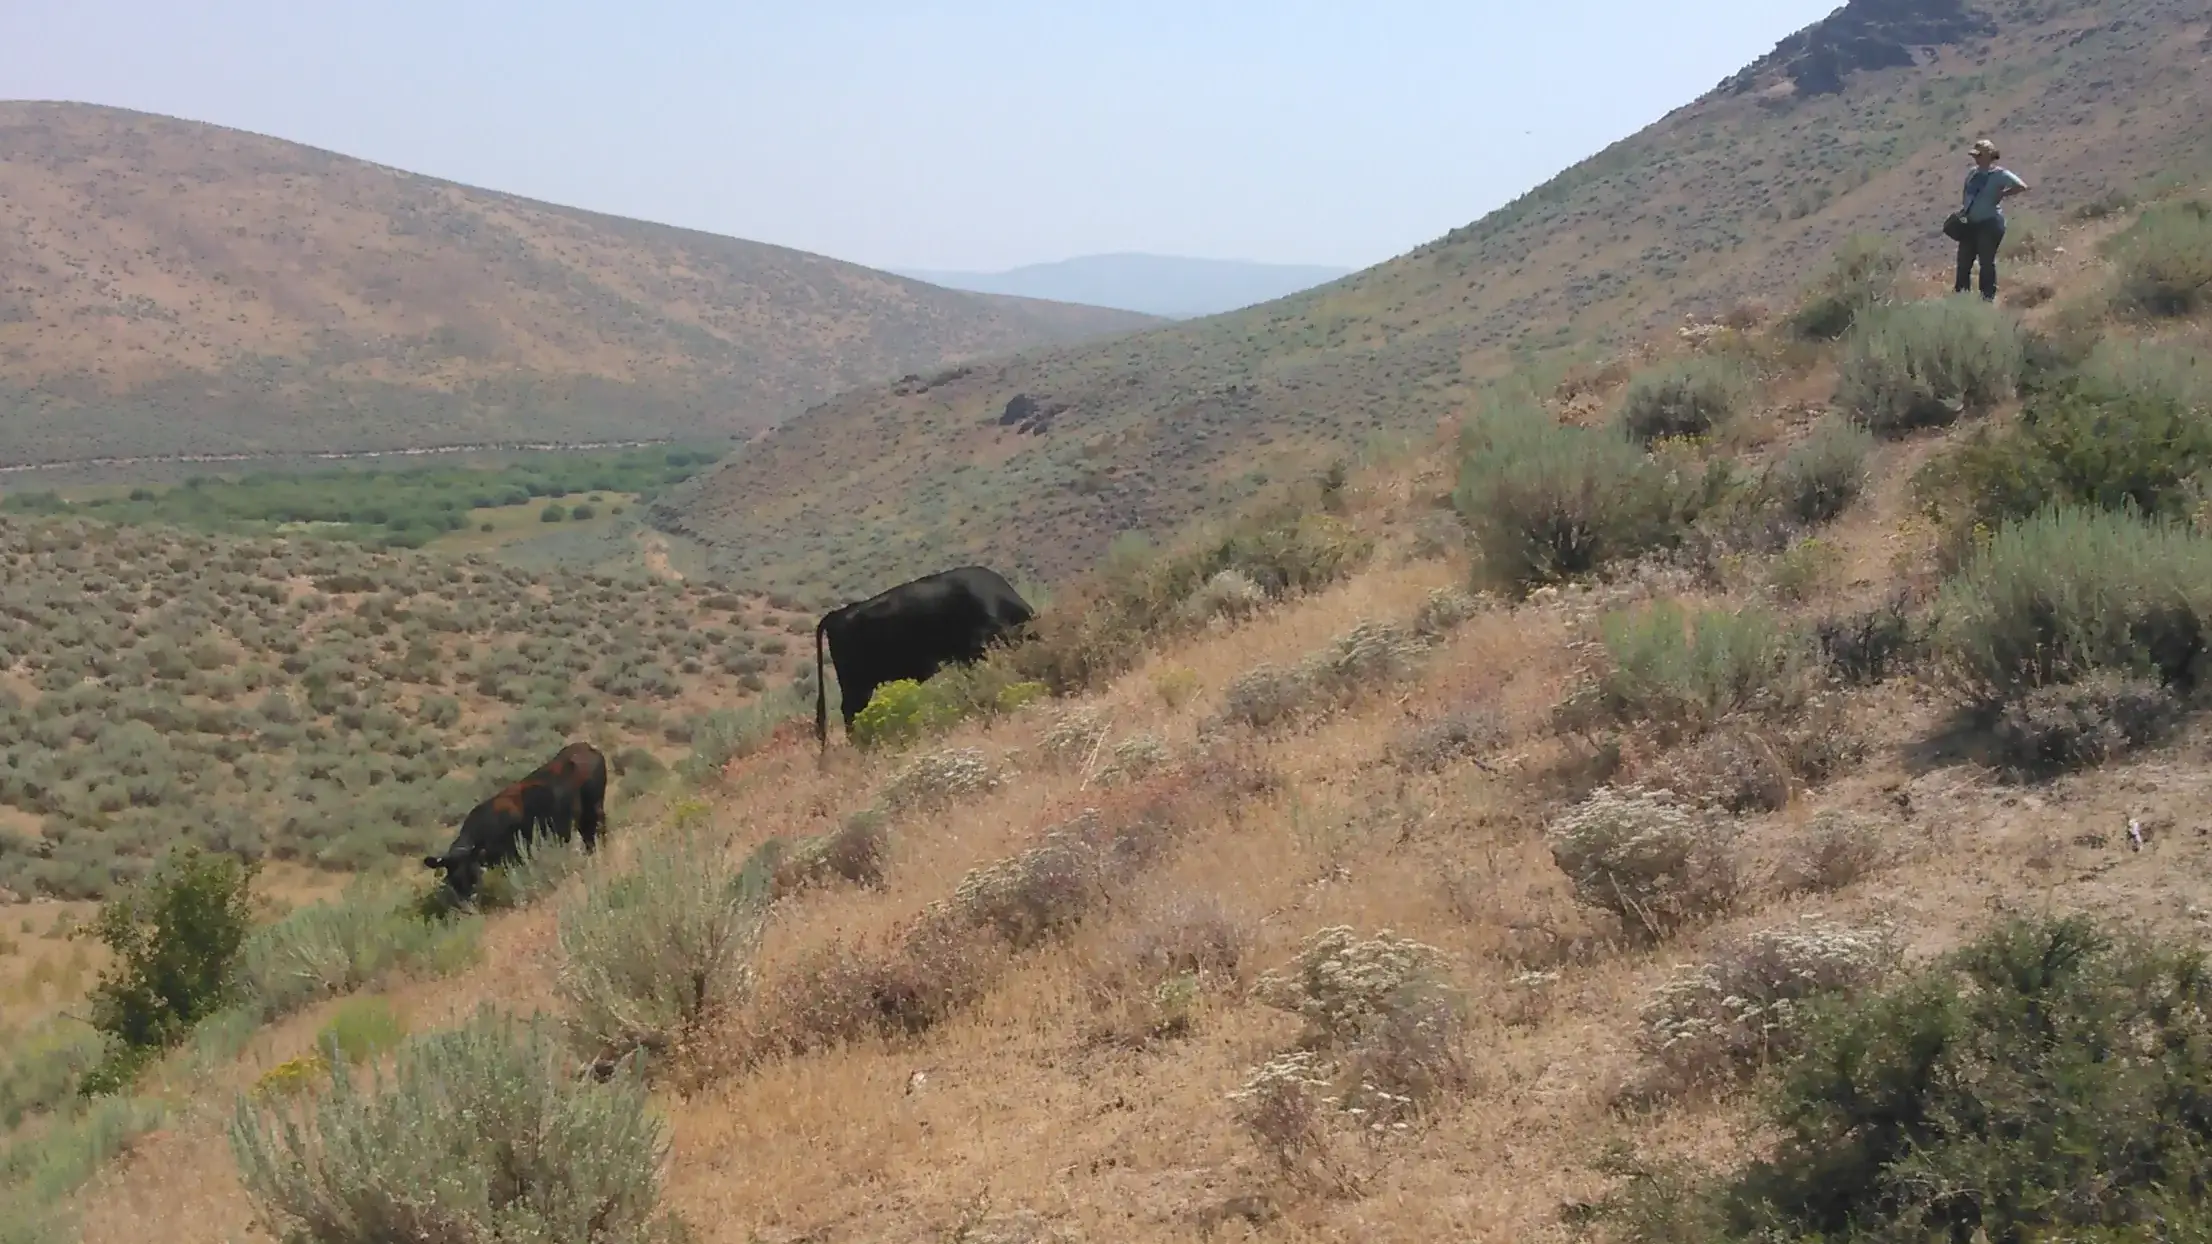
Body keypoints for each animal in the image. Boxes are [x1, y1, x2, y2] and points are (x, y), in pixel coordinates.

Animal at [423, 741, 609, 900]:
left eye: (472, 871)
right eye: (452, 876)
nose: (469, 897)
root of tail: (585, 747)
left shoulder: (512, 856)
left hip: (595, 805)